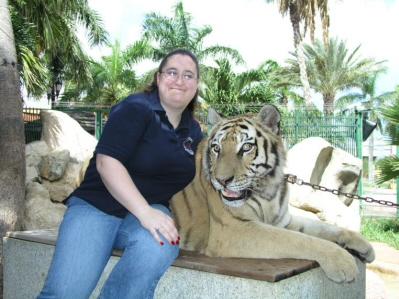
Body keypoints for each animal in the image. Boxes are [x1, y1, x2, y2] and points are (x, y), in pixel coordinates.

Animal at [170, 105, 376, 284]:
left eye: (246, 148)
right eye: (216, 148)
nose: (221, 180)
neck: (267, 189)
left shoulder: (282, 221)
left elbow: (324, 228)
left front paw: (364, 245)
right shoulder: (234, 229)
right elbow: (299, 240)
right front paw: (342, 261)